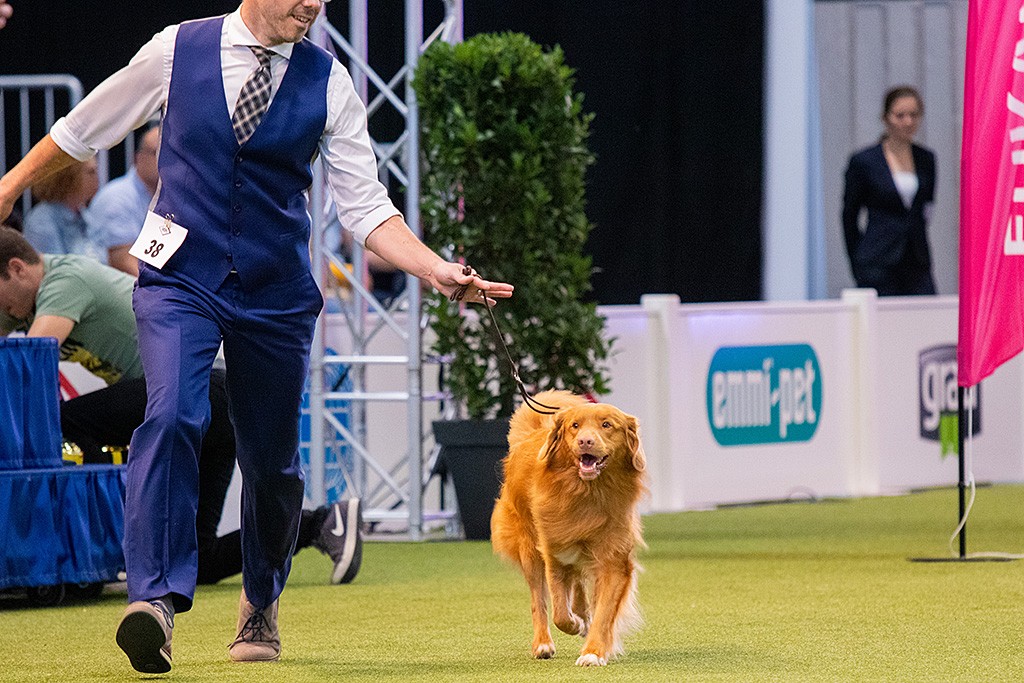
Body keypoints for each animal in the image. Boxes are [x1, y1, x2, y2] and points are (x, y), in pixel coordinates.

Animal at [489, 393, 647, 663]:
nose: (585, 440)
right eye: (575, 426)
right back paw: (543, 642)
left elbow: (603, 611)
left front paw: (593, 651)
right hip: (529, 549)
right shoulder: (555, 554)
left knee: (579, 584)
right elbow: (560, 613)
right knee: (539, 600)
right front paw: (574, 624)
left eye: (607, 425)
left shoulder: (613, 559)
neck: (587, 492)